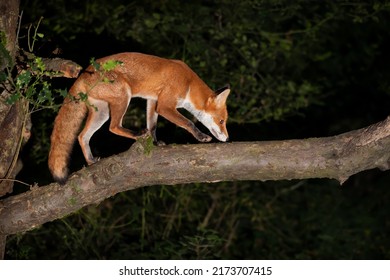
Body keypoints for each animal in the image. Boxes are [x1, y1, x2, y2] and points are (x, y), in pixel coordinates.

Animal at [49, 52, 232, 184]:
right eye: (222, 121)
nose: (228, 138)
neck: (188, 83)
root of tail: (81, 75)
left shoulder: (153, 101)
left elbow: (153, 126)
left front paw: (155, 143)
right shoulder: (165, 105)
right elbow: (187, 122)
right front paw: (201, 136)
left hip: (102, 112)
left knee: (82, 136)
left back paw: (90, 160)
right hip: (124, 96)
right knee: (113, 127)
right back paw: (136, 134)